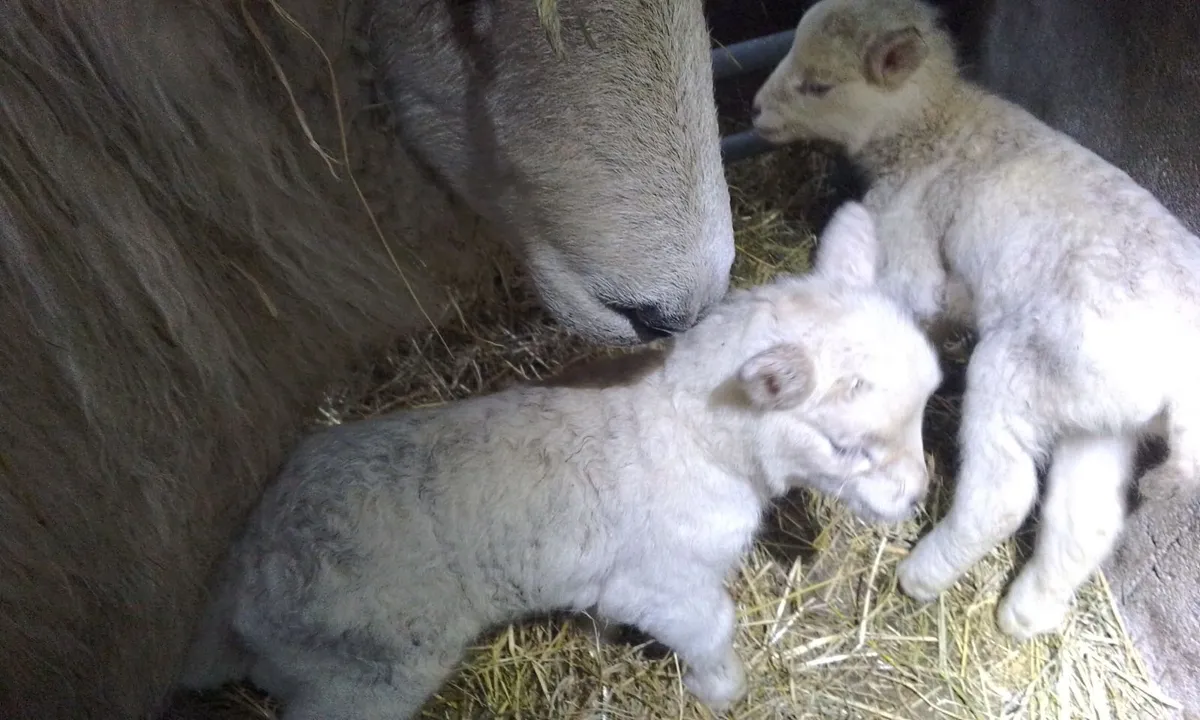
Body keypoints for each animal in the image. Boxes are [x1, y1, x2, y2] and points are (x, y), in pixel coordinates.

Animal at [178, 201, 942, 719]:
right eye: (847, 445)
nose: (914, 498)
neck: (693, 435)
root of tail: (239, 577)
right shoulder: (657, 581)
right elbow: (710, 625)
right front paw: (719, 689)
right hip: (363, 671)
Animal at [751, 0, 1200, 642]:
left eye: (819, 86)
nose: (754, 111)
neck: (933, 126)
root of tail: (1180, 378)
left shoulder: (909, 235)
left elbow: (909, 298)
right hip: (1099, 411)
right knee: (1086, 516)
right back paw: (1026, 614)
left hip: (1022, 369)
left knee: (1004, 495)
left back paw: (922, 574)